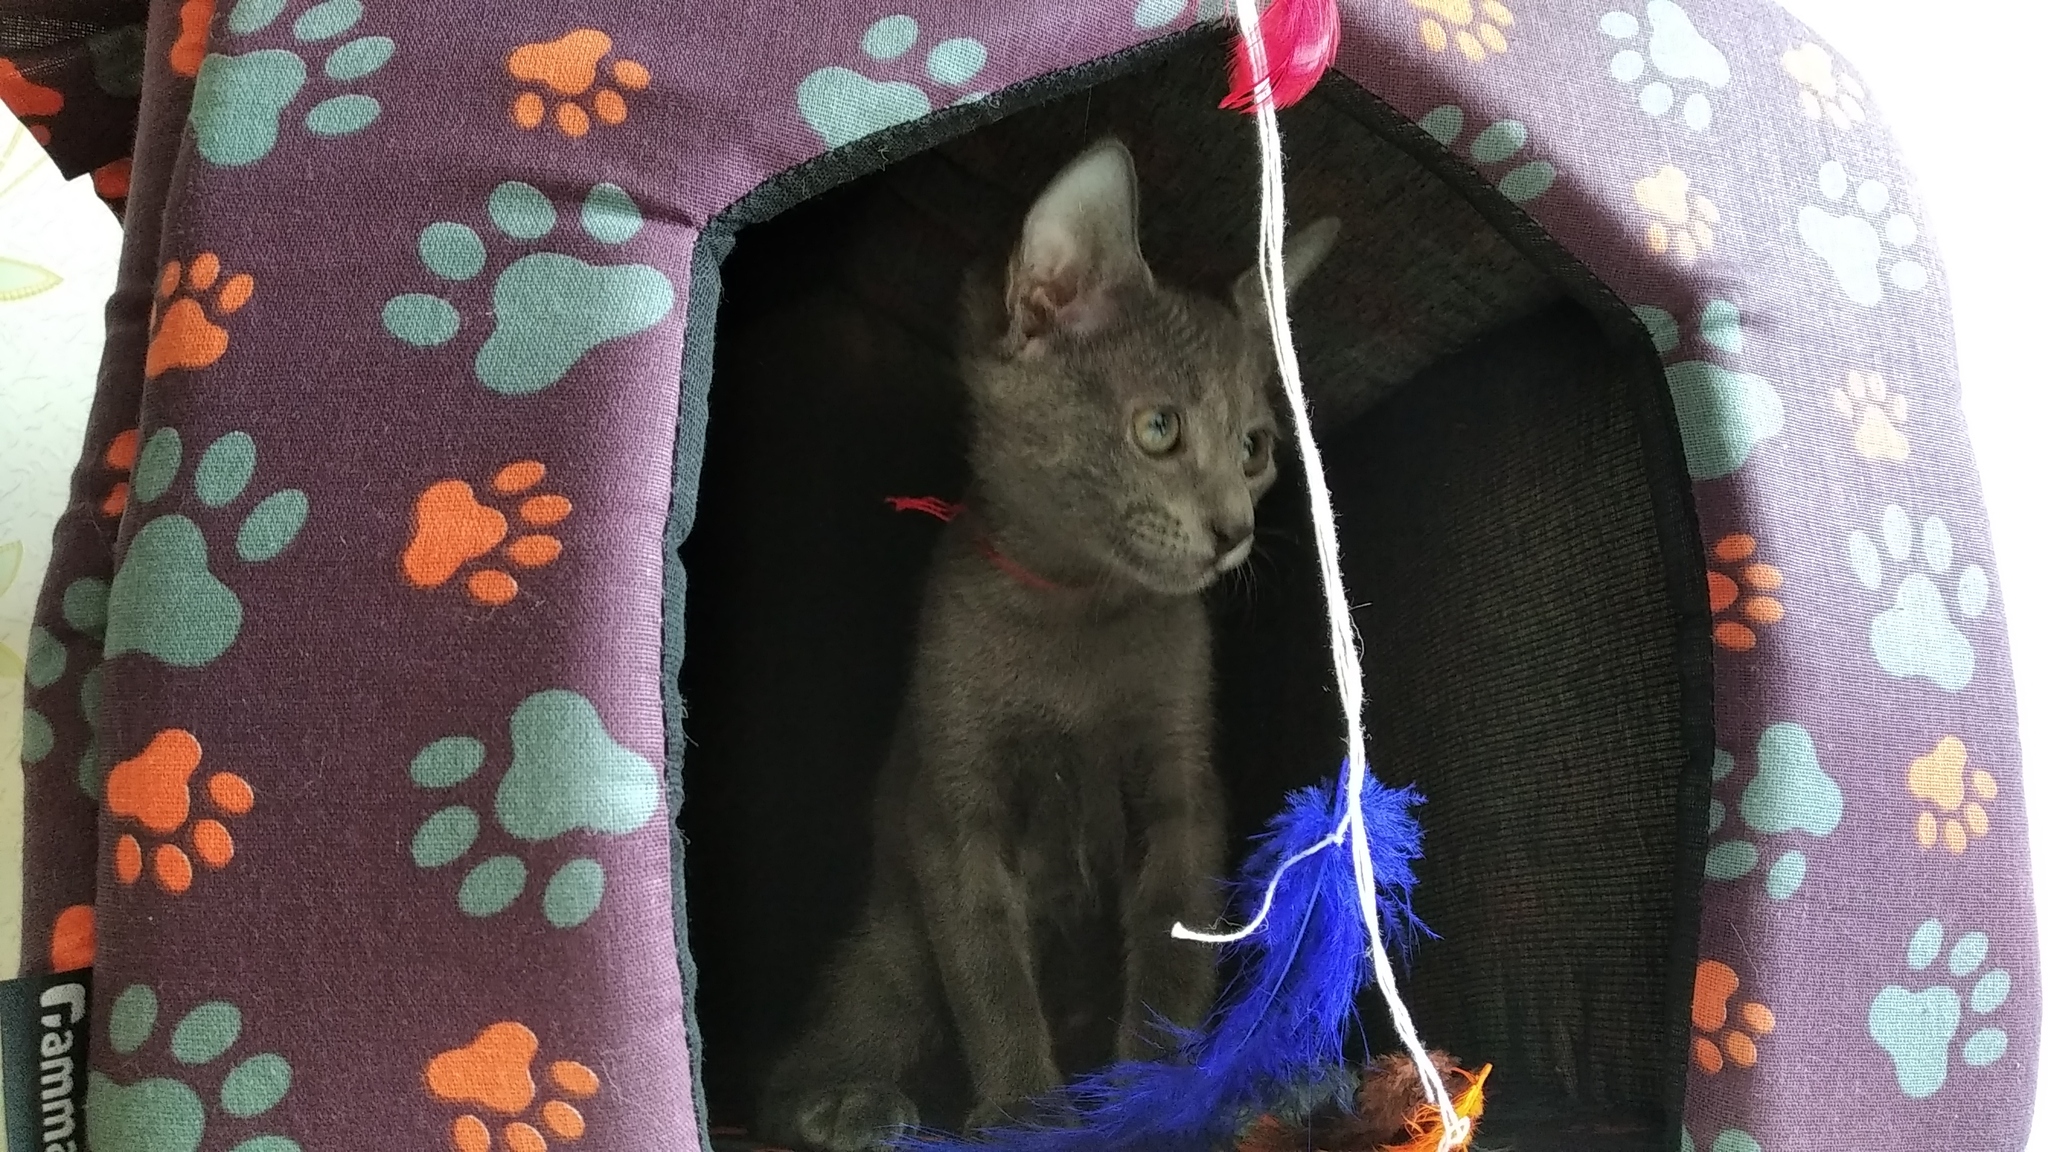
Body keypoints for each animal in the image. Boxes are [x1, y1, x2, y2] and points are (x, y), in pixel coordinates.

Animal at [761, 141, 1335, 1147]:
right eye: (1158, 429)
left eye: (1256, 448)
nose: (1232, 531)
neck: (1078, 612)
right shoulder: (953, 798)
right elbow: (987, 962)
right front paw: (1026, 1107)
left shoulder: (1183, 789)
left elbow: (1174, 953)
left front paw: (1157, 1095)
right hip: (893, 950)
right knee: (800, 1063)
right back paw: (848, 1103)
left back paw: (1274, 1088)